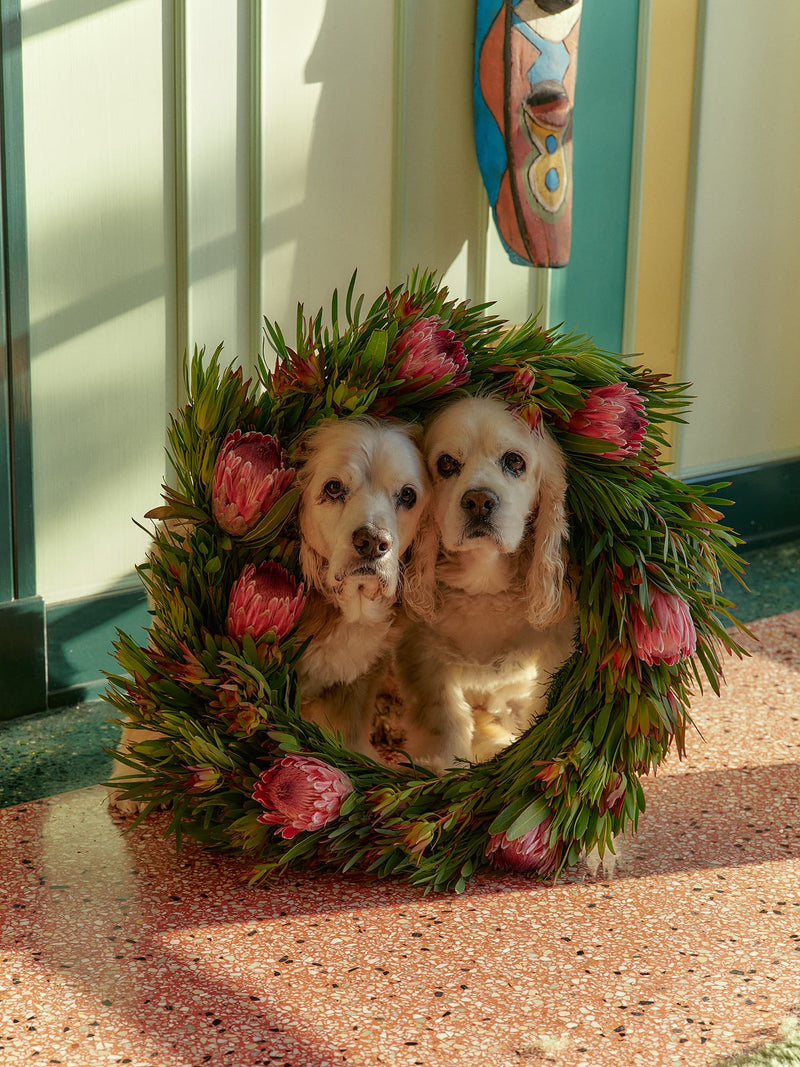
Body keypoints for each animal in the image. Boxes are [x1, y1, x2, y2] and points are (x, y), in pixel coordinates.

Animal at [396, 396, 576, 772]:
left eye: (515, 461)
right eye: (446, 463)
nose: (479, 501)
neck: (484, 583)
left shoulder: (555, 646)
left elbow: (540, 700)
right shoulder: (421, 654)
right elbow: (443, 716)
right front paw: (442, 763)